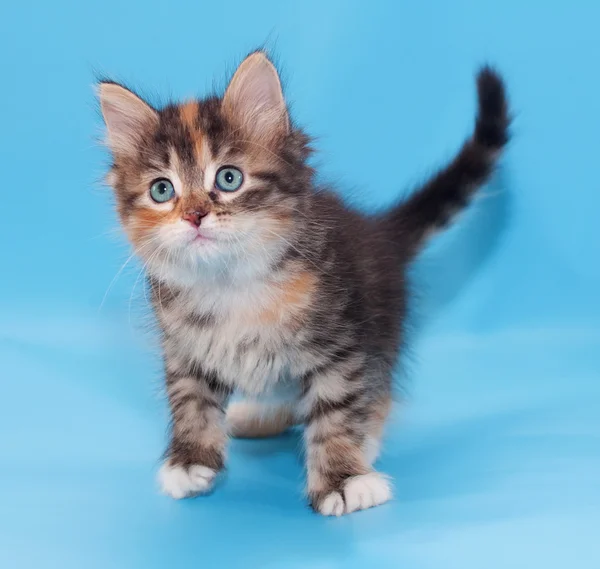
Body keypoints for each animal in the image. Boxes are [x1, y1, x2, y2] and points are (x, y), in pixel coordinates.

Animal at [99, 52, 510, 516]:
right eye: (162, 190)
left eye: (228, 179)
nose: (194, 215)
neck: (230, 282)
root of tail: (379, 233)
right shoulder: (185, 347)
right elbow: (190, 400)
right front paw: (190, 461)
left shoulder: (339, 343)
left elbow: (335, 409)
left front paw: (344, 479)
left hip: (382, 327)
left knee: (378, 390)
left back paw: (365, 441)